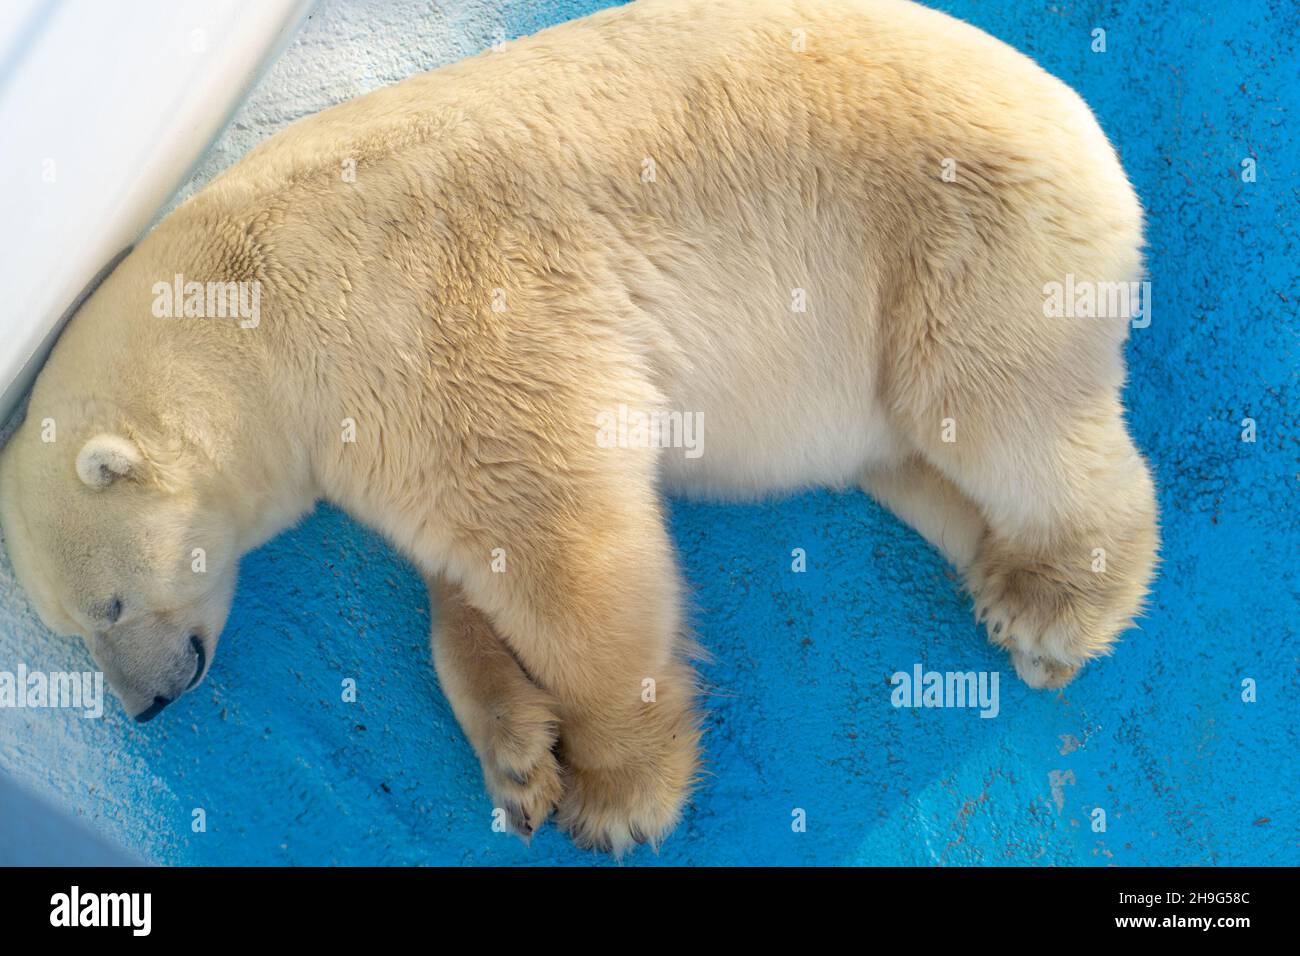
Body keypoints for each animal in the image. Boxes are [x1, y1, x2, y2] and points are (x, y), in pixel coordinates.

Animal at [0, 0, 1159, 853]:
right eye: (65, 631)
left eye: (108, 605)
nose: (145, 707)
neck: (249, 313)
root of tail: (1073, 110)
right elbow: (461, 568)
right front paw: (516, 755)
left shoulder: (425, 315)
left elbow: (560, 540)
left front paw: (617, 789)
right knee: (914, 459)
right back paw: (1007, 587)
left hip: (950, 235)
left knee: (992, 404)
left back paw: (1059, 607)